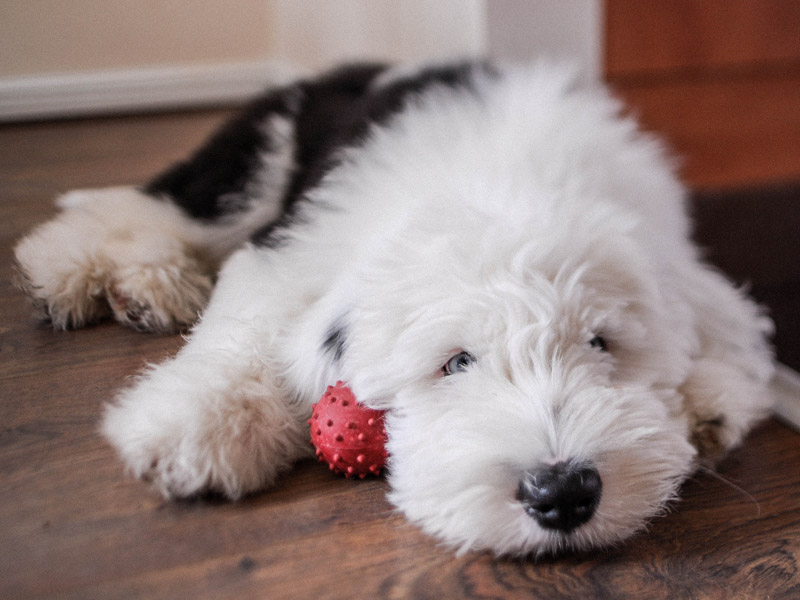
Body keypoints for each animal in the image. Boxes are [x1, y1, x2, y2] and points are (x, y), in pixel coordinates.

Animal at [14, 62, 776, 556]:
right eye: (456, 362)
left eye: (601, 344)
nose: (561, 493)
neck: (507, 184)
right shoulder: (296, 248)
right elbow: (249, 327)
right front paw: (195, 428)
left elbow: (728, 332)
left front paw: (707, 403)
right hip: (260, 158)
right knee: (156, 207)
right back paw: (106, 274)